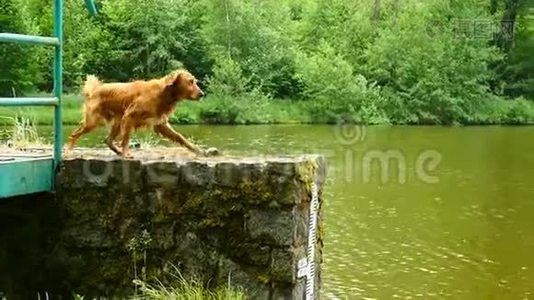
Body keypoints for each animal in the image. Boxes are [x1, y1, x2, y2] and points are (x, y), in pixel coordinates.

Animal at [67, 69, 216, 158]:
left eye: (195, 81)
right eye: (190, 82)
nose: (202, 94)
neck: (163, 94)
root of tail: (95, 90)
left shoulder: (160, 123)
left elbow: (180, 137)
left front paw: (198, 150)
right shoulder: (129, 116)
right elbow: (126, 139)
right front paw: (126, 153)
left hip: (116, 121)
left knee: (108, 140)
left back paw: (117, 152)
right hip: (93, 121)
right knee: (74, 134)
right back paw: (68, 151)